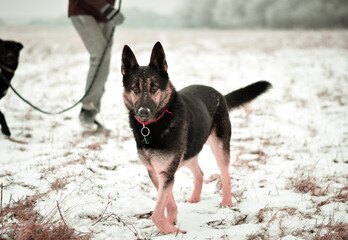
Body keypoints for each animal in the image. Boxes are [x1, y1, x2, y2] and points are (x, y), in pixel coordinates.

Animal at [122, 42, 272, 233]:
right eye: (135, 89)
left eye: (154, 88)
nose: (143, 112)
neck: (153, 125)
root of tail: (219, 94)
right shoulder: (157, 172)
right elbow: (168, 202)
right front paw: (172, 221)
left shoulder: (166, 172)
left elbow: (156, 213)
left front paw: (173, 231)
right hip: (189, 152)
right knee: (199, 173)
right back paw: (195, 198)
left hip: (219, 147)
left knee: (225, 174)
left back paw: (226, 202)